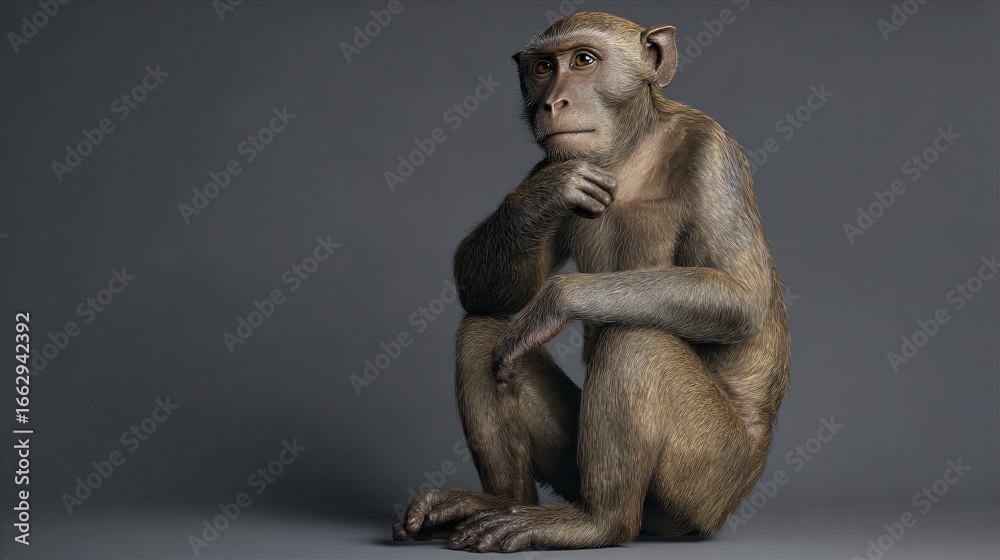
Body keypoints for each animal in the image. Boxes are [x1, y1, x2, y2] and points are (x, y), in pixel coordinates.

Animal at [392, 11, 789, 552]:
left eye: (583, 60)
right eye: (543, 67)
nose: (553, 101)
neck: (633, 152)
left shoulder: (712, 150)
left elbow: (739, 297)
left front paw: (556, 300)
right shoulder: (556, 158)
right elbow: (484, 289)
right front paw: (545, 194)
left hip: (709, 482)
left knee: (637, 342)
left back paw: (599, 522)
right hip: (580, 471)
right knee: (484, 329)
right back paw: (501, 501)